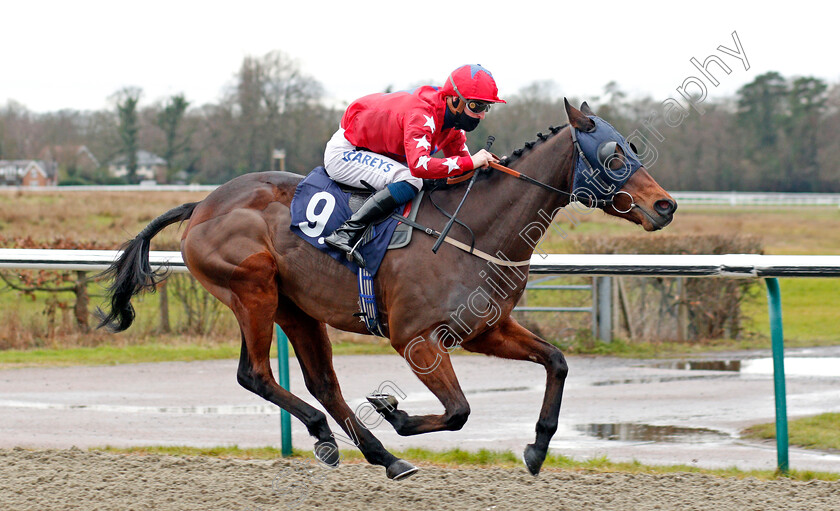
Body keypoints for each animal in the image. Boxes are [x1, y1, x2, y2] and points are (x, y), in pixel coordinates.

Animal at [98, 99, 676, 480]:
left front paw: (536, 450)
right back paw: (341, 439)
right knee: (256, 374)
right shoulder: (415, 338)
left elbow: (556, 361)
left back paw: (377, 454)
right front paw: (397, 414)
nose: (665, 205)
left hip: (296, 308)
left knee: (322, 383)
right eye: (614, 156)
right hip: (253, 290)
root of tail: (202, 204)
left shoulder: (486, 329)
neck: (475, 230)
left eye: (631, 148)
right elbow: (459, 411)